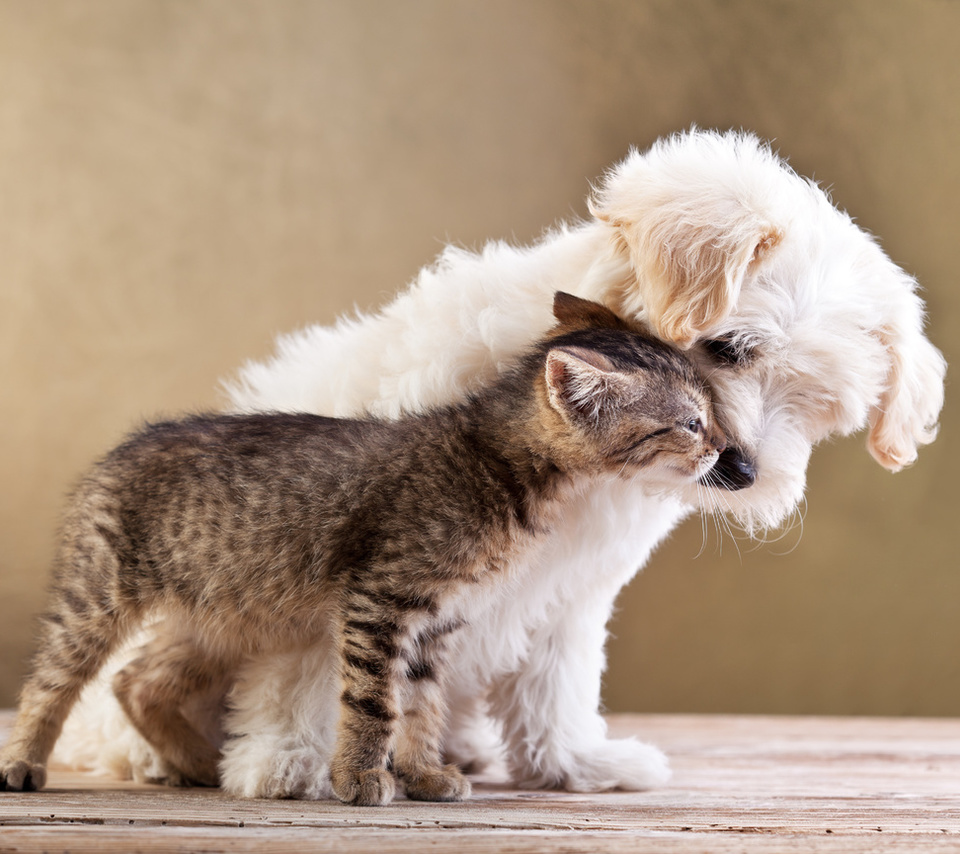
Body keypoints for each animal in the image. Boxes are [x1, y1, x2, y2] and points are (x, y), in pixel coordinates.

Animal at [0, 290, 720, 804]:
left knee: (138, 680)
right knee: (52, 679)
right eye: (689, 422)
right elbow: (375, 702)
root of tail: (124, 445)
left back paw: (201, 763)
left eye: (708, 412)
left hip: (223, 614)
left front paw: (424, 774)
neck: (498, 463)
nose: (723, 450)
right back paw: (24, 762)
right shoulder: (381, 600)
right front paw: (359, 780)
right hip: (98, 594)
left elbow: (422, 706)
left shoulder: (439, 621)